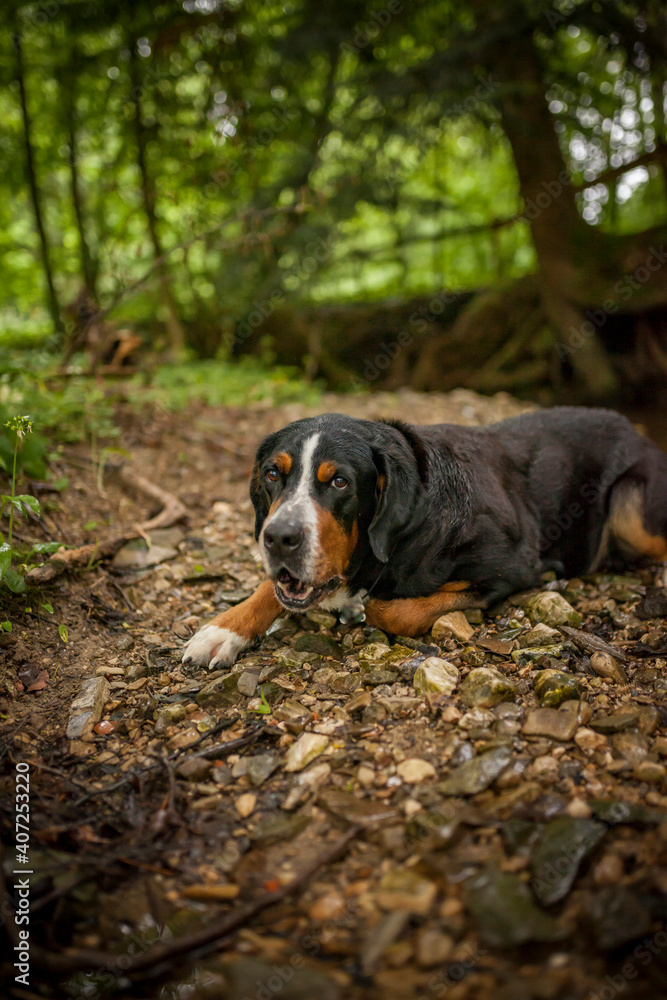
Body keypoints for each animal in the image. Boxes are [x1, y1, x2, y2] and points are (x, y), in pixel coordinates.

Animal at [181, 402, 667, 668]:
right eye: (271, 474)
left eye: (339, 482)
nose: (279, 538)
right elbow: (271, 587)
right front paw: (224, 628)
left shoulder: (509, 567)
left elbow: (392, 611)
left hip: (629, 504)